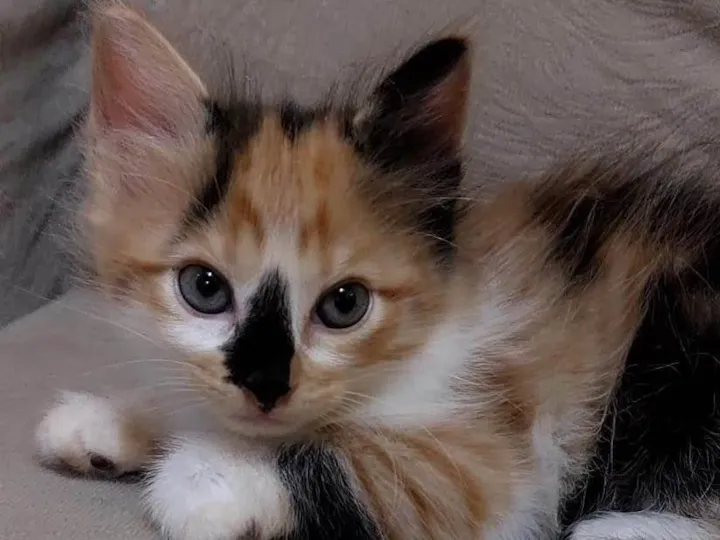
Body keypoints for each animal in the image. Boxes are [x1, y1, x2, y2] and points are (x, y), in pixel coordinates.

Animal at [35, 4, 720, 540]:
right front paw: (107, 422)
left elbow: (374, 464)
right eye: (204, 289)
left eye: (345, 305)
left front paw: (210, 476)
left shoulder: (499, 448)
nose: (265, 384)